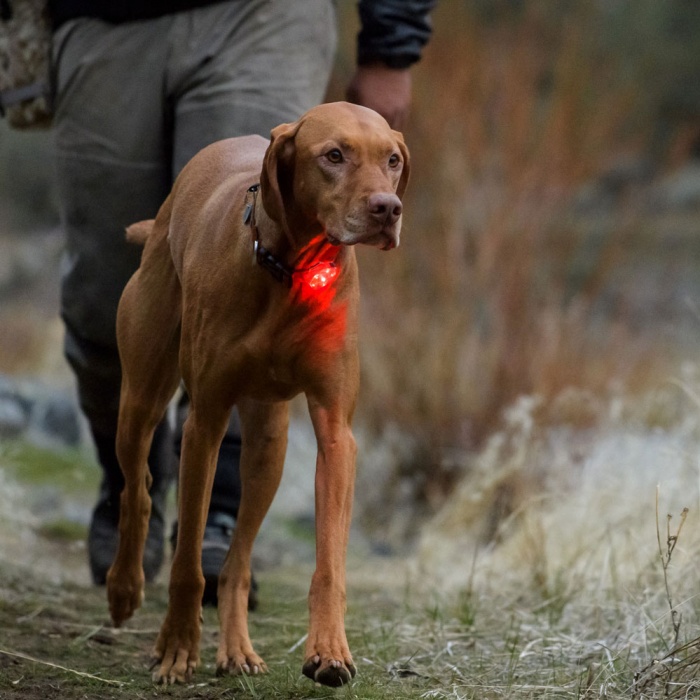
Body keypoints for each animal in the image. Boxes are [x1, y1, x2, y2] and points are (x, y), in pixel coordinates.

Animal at [105, 101, 410, 688]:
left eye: (392, 160)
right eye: (333, 156)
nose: (388, 209)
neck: (291, 269)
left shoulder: (336, 433)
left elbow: (329, 563)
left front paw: (330, 651)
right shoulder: (205, 422)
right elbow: (186, 563)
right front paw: (177, 648)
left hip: (269, 445)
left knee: (238, 558)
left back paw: (237, 649)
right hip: (140, 398)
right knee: (140, 489)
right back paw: (124, 587)